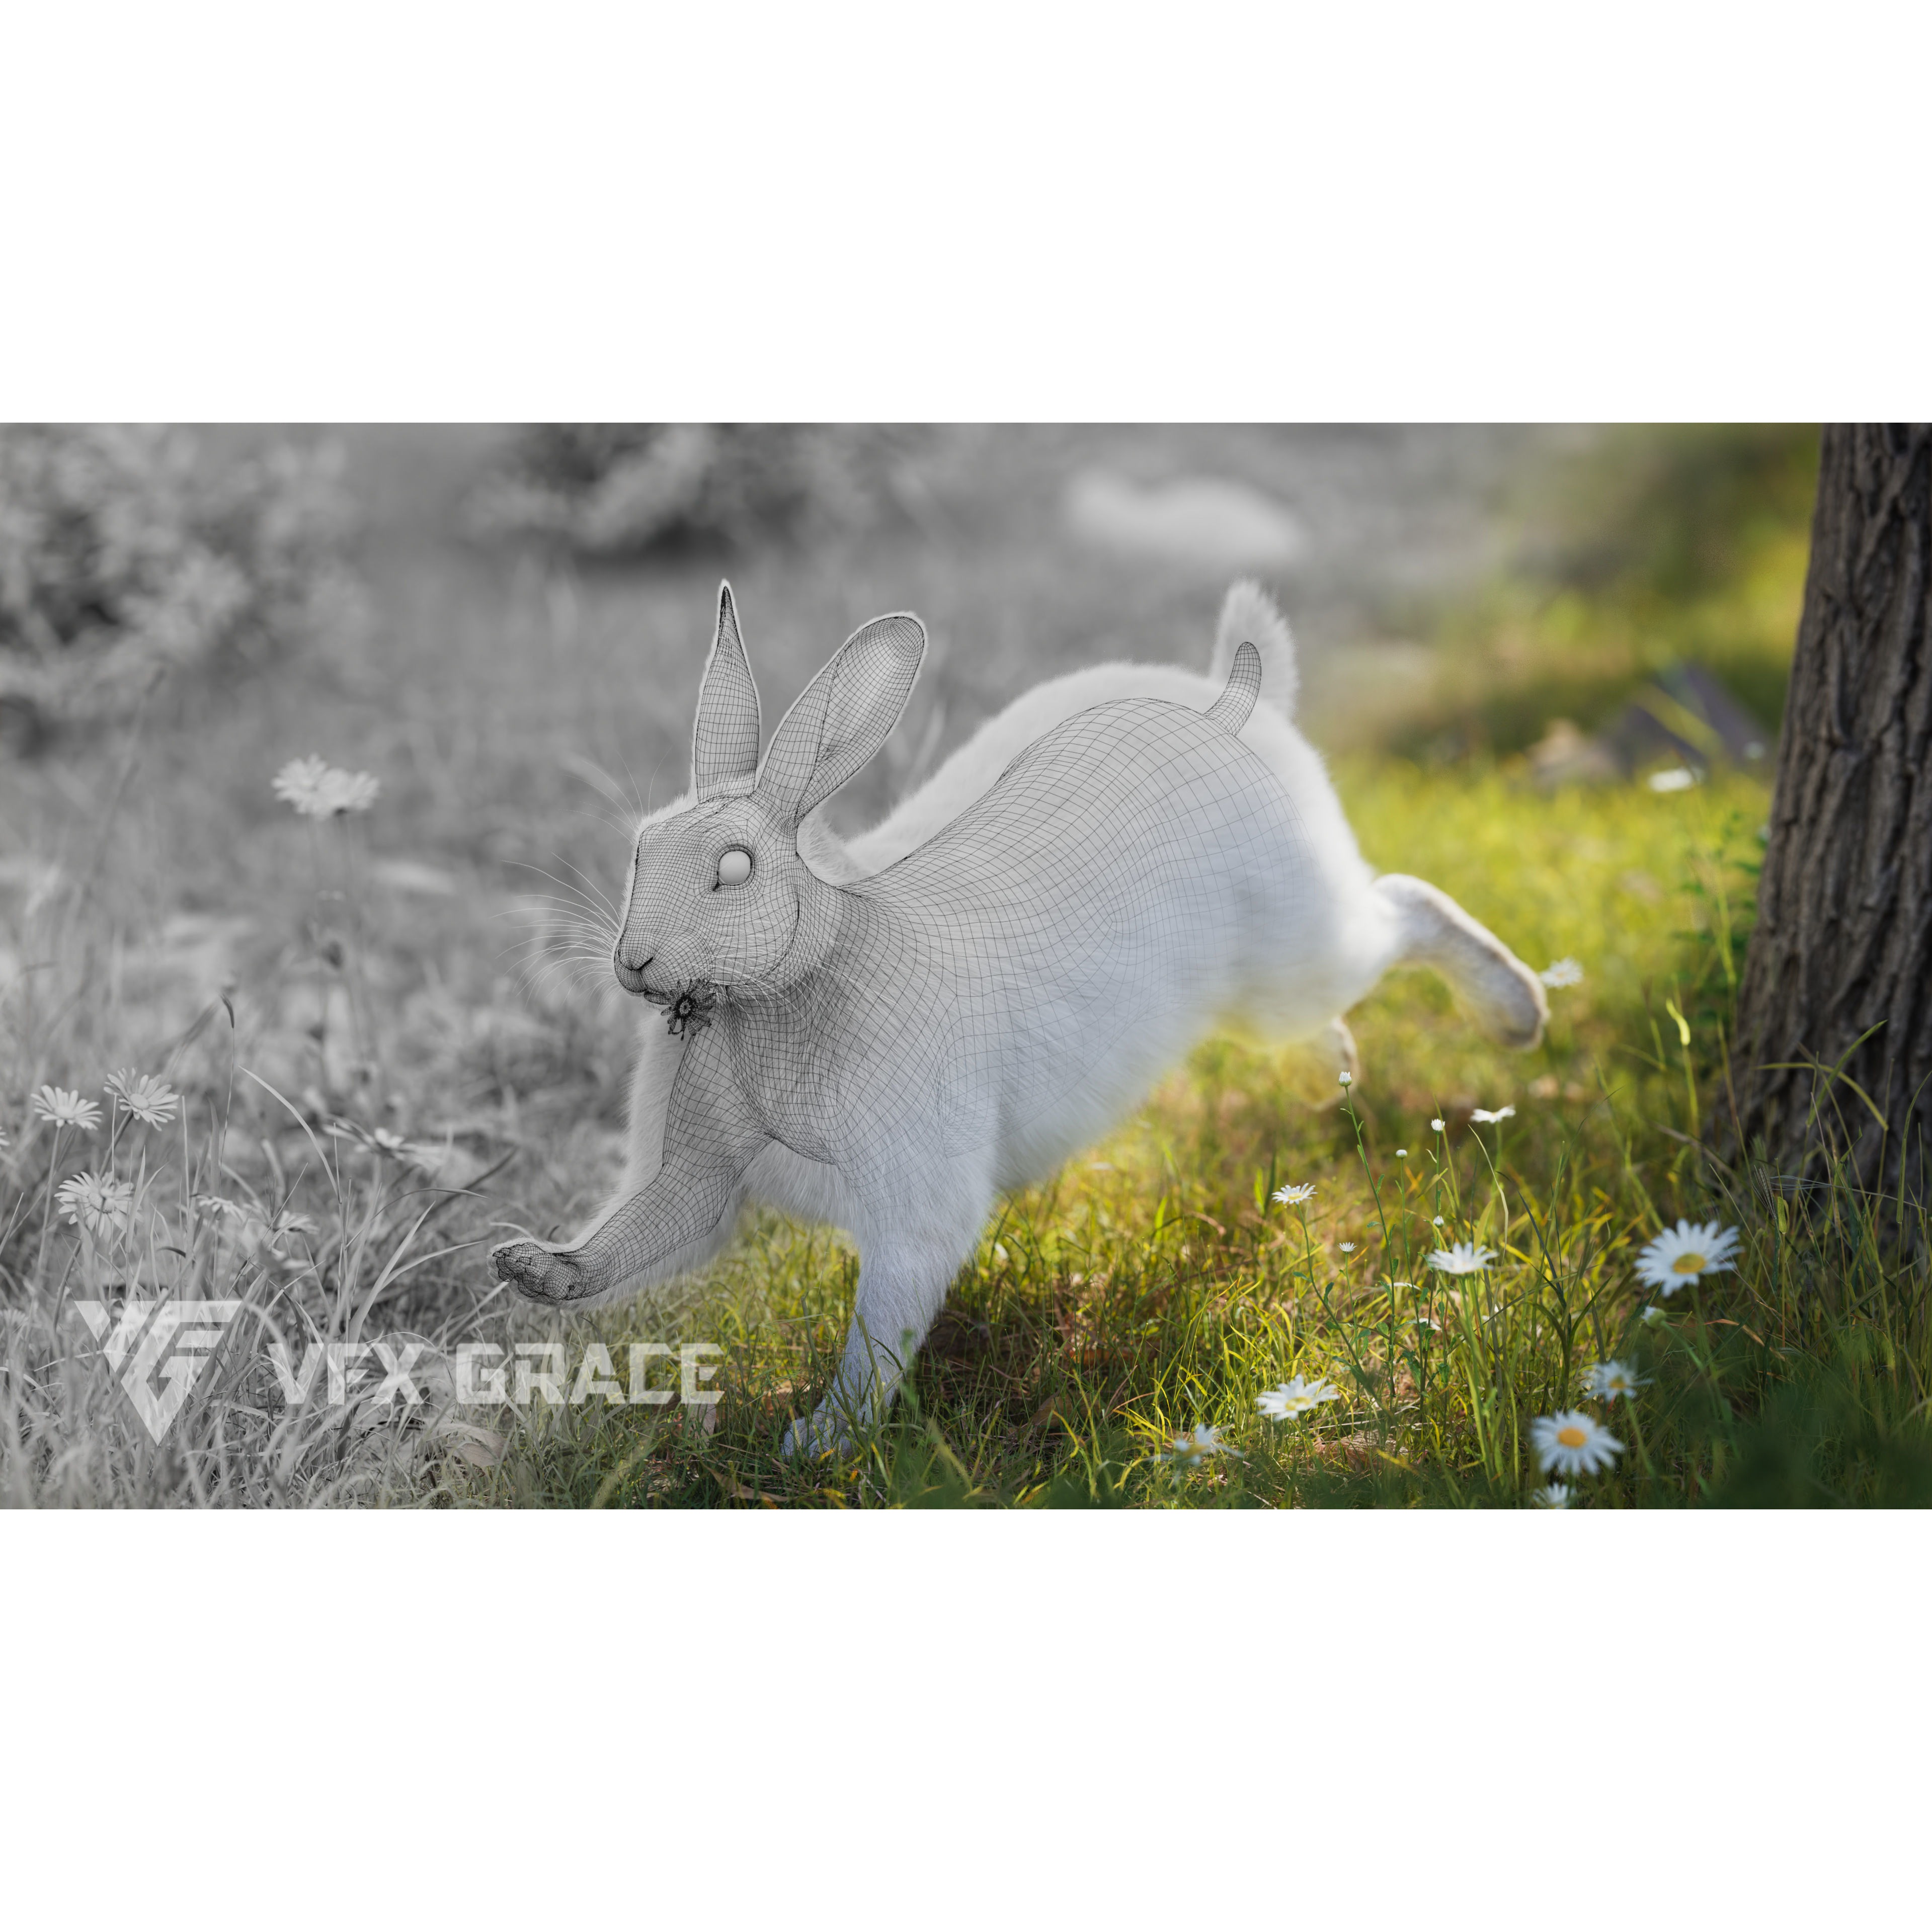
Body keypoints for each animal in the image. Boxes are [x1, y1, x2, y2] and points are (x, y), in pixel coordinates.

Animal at [491, 581, 1547, 1455]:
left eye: (735, 869)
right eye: (641, 847)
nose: (633, 962)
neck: (801, 981)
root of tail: (1235, 706)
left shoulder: (918, 1203)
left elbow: (882, 1330)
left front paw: (820, 1442)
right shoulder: (701, 1170)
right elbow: (640, 1232)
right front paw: (535, 1269)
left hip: (1302, 951)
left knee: (1404, 907)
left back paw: (1520, 1016)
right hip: (1271, 997)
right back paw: (1339, 1074)